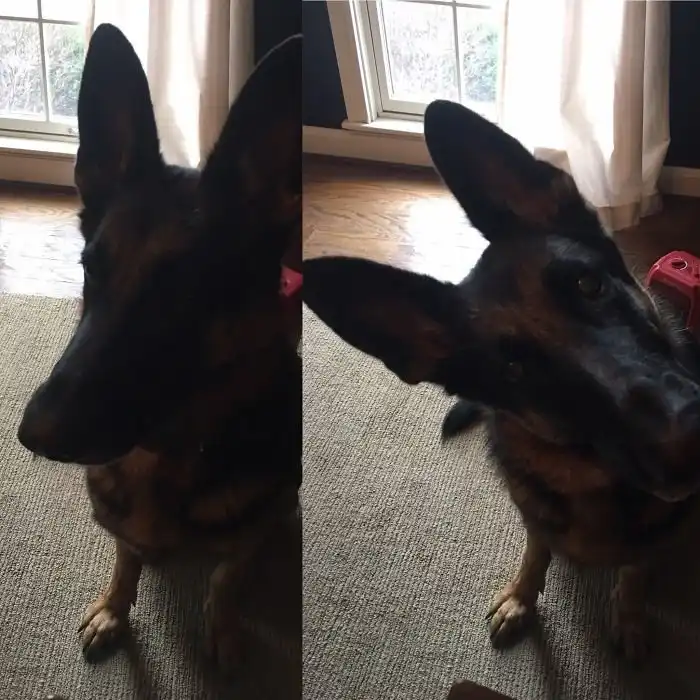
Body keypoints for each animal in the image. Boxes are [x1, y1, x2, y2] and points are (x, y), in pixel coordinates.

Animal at [16, 24, 301, 675]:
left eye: (186, 291)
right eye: (90, 270)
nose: (33, 435)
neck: (165, 454)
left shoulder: (245, 535)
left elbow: (226, 575)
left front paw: (222, 627)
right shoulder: (120, 527)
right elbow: (126, 560)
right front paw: (114, 608)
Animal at [303, 99, 700, 662]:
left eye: (589, 284)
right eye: (515, 371)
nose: (689, 441)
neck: (589, 476)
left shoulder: (657, 531)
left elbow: (635, 568)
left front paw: (629, 614)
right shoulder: (536, 516)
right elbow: (537, 551)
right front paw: (521, 598)